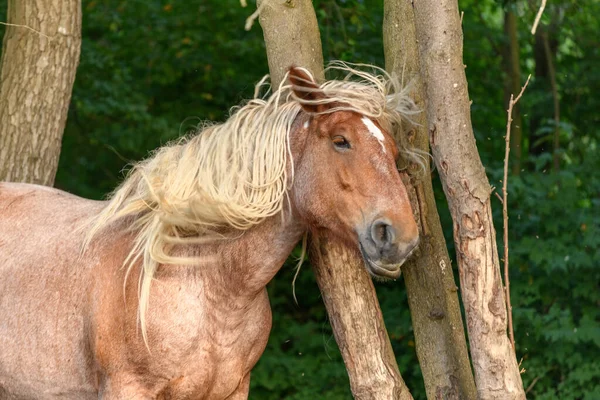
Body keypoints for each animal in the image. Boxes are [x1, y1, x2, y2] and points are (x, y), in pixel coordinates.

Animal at [0, 64, 420, 398]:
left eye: (394, 151)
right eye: (340, 141)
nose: (399, 237)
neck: (208, 282)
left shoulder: (231, 390)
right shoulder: (127, 388)